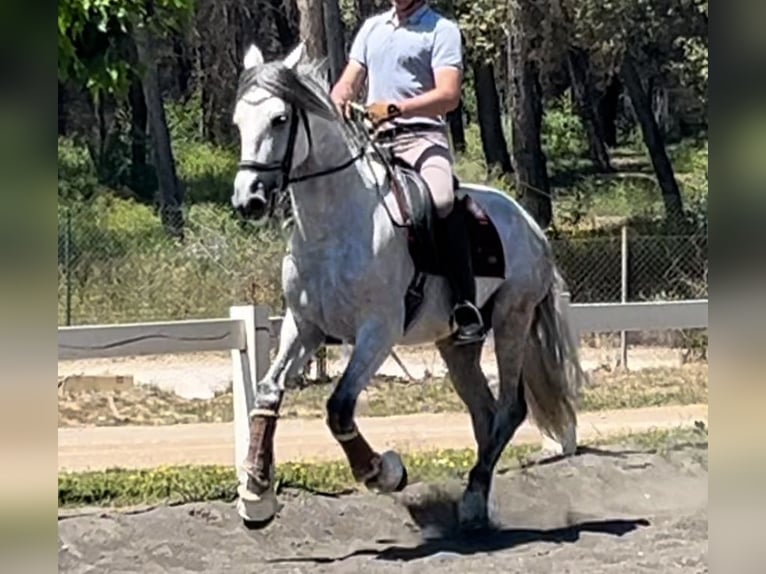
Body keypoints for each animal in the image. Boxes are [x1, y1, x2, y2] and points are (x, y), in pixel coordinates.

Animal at [228, 41, 588, 536]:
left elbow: (340, 406)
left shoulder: (377, 332)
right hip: (456, 345)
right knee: (484, 412)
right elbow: (266, 393)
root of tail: (530, 223)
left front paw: (384, 473)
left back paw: (472, 501)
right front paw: (257, 496)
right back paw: (476, 501)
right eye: (238, 122)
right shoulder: (304, 327)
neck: (335, 226)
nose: (248, 200)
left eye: (280, 119)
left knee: (509, 410)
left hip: (511, 321)